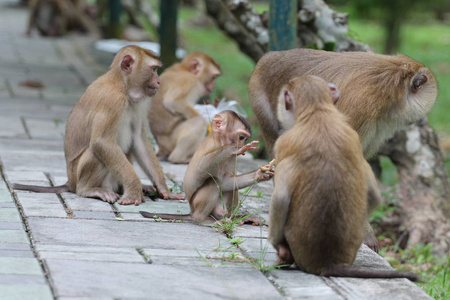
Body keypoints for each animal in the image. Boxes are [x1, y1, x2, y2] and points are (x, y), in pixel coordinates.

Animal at [12, 45, 185, 206]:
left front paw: (163, 189)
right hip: (80, 176)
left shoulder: (139, 103)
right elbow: (102, 142)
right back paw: (89, 189)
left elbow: (138, 140)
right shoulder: (112, 100)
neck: (122, 84)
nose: (159, 81)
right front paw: (133, 192)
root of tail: (70, 182)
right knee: (96, 151)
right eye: (154, 69)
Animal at [141, 110, 274, 223]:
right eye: (241, 137)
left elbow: (226, 182)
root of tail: (191, 211)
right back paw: (202, 219)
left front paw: (261, 174)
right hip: (197, 204)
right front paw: (233, 149)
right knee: (212, 181)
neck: (221, 141)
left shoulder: (232, 160)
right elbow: (200, 168)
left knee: (231, 187)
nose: (242, 143)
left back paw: (233, 217)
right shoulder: (211, 145)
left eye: (245, 138)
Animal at [268, 75, 418, 282]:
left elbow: (281, 198)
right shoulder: (353, 136)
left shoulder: (283, 142)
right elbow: (374, 196)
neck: (317, 112)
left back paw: (284, 257)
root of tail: (327, 262)